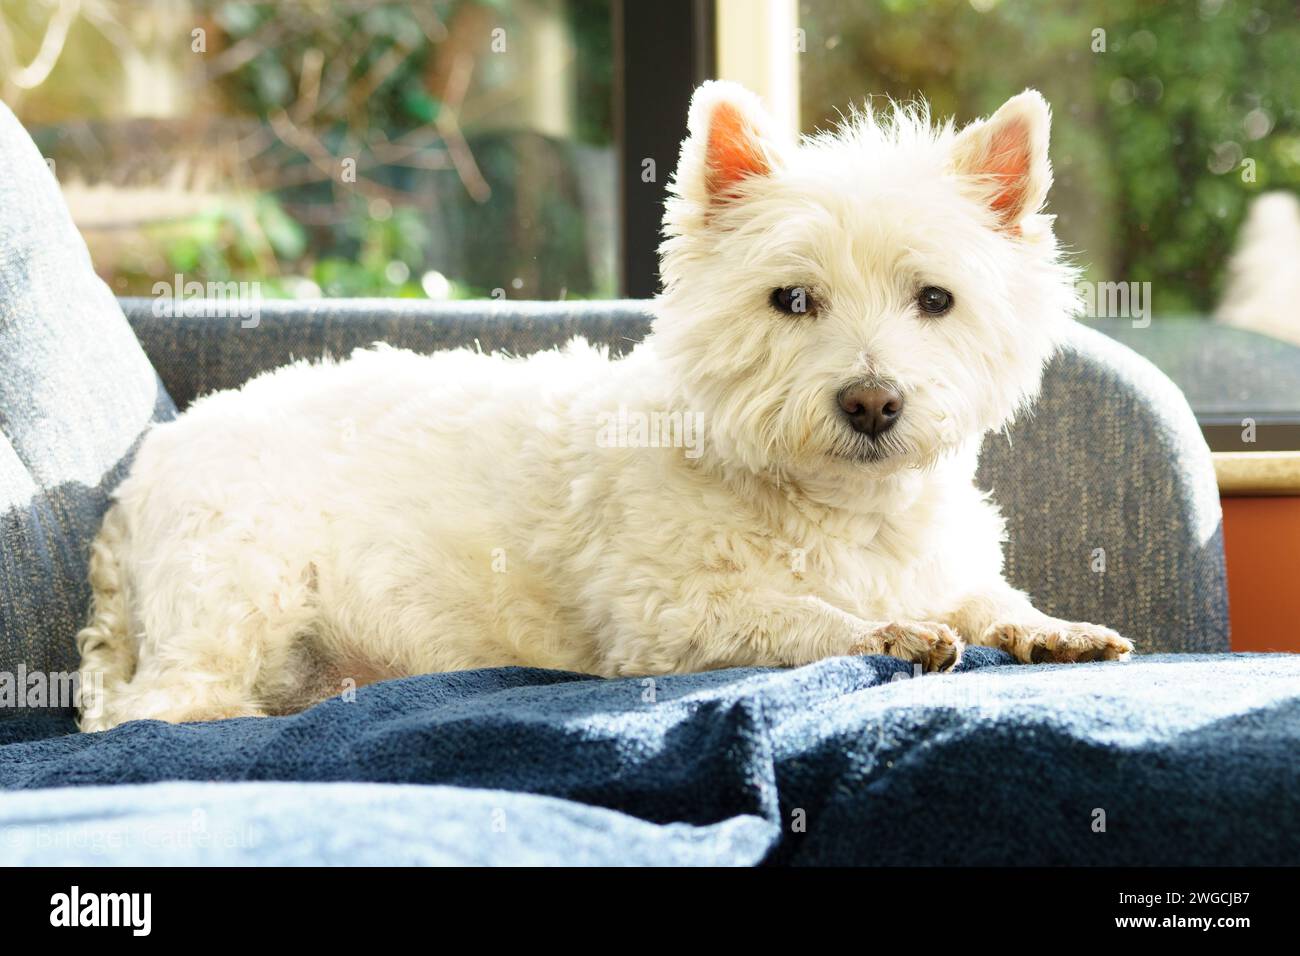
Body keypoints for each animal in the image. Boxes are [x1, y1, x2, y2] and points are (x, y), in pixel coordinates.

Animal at [78, 82, 1128, 733]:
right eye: (792, 299)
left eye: (936, 299)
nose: (873, 402)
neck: (838, 505)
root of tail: (139, 474)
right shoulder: (664, 618)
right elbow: (798, 615)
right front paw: (884, 631)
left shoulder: (942, 562)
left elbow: (990, 598)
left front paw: (1054, 628)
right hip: (241, 587)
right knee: (153, 712)